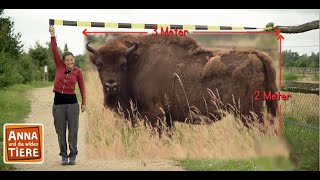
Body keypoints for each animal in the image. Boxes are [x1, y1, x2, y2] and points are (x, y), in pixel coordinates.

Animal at [86, 34, 278, 129]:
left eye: (123, 64)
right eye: (99, 65)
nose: (111, 85)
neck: (137, 61)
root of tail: (257, 54)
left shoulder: (154, 115)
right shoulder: (167, 117)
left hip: (248, 113)